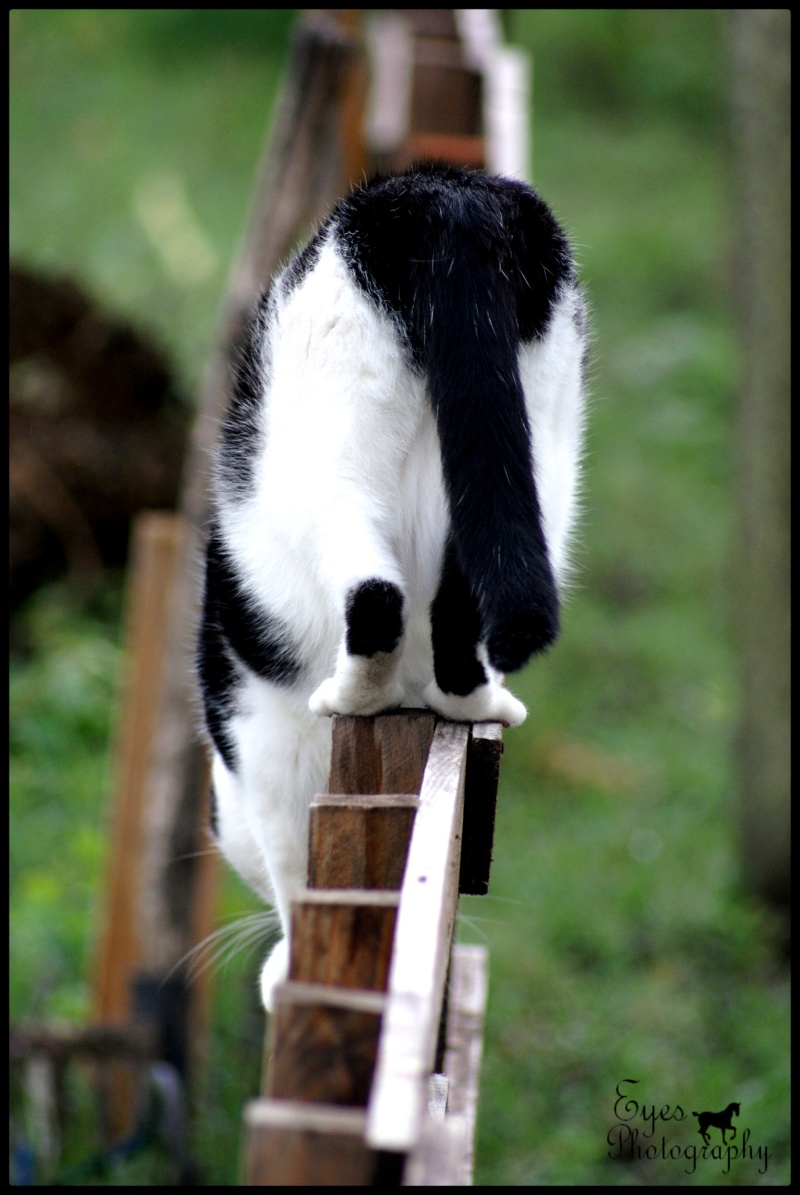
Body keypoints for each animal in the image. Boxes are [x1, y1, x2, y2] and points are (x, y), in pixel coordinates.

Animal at [198, 161, 585, 1008]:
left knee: (375, 595)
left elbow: (293, 868)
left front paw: (289, 963)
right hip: (536, 444)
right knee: (461, 604)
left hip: (329, 456)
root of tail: (450, 195)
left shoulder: (262, 742)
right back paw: (469, 701)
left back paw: (358, 691)